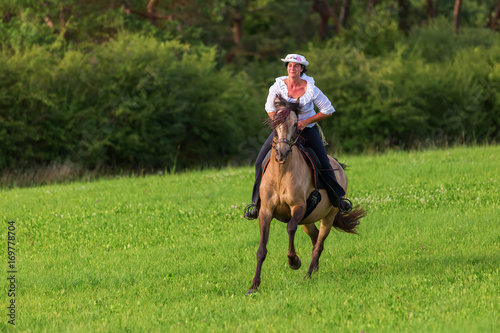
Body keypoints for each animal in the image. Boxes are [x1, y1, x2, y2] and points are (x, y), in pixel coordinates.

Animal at [247, 94, 368, 294]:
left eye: (296, 124)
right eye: (274, 124)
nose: (281, 153)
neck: (281, 173)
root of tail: (338, 165)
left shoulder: (298, 207)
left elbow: (290, 228)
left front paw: (294, 261)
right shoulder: (265, 211)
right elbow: (261, 249)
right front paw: (254, 286)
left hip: (328, 216)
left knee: (319, 243)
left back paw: (309, 274)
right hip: (308, 220)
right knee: (315, 237)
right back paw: (315, 268)